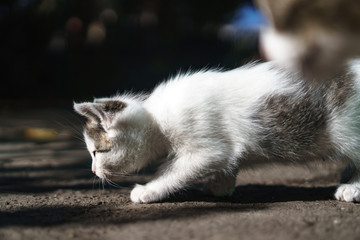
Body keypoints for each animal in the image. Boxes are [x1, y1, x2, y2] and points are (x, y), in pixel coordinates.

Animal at [74, 61, 360, 203]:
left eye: (97, 152)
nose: (93, 171)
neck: (157, 116)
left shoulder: (207, 146)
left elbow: (179, 169)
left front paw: (148, 190)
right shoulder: (226, 143)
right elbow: (230, 160)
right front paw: (220, 187)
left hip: (346, 127)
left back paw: (352, 189)